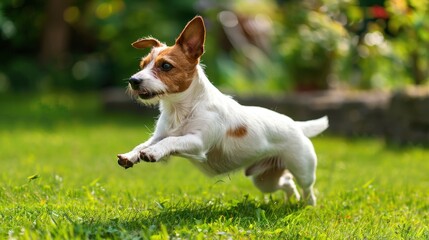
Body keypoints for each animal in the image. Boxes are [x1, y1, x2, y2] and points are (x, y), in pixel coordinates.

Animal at [117, 15, 328, 205]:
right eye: (142, 65)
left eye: (166, 66)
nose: (133, 80)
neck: (180, 109)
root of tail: (297, 126)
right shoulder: (158, 136)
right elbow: (144, 144)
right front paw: (130, 155)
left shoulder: (198, 142)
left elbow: (171, 140)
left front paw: (153, 152)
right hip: (265, 180)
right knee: (287, 183)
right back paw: (292, 200)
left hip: (303, 169)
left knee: (307, 188)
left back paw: (307, 205)